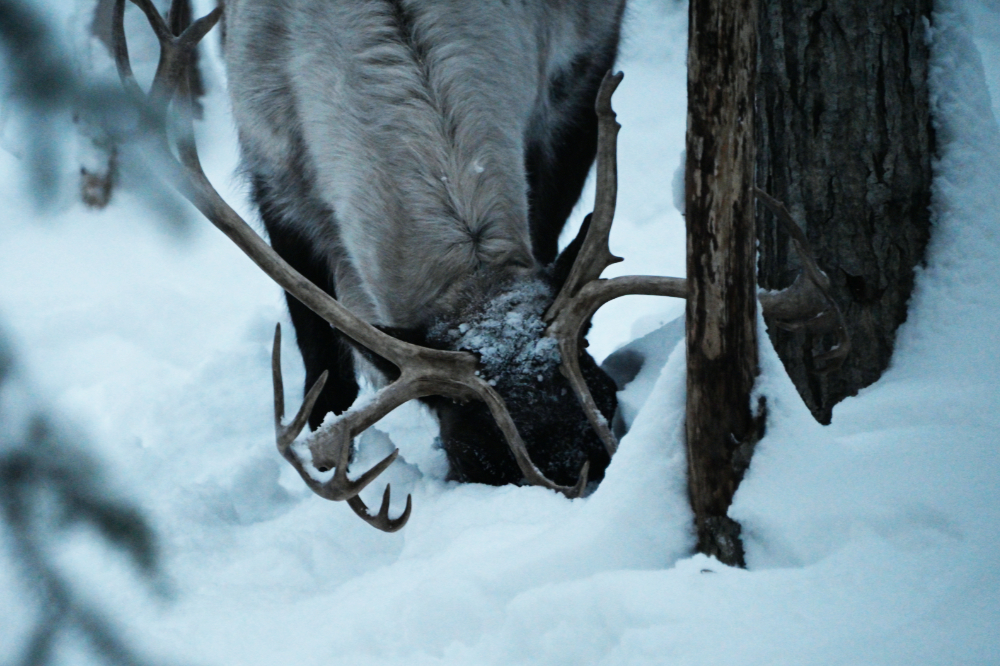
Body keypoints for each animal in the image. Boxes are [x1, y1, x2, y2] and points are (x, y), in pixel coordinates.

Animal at [111, 0, 847, 532]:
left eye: (605, 396)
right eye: (475, 451)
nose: (582, 486)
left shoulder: (577, 87)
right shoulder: (275, 177)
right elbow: (326, 381)